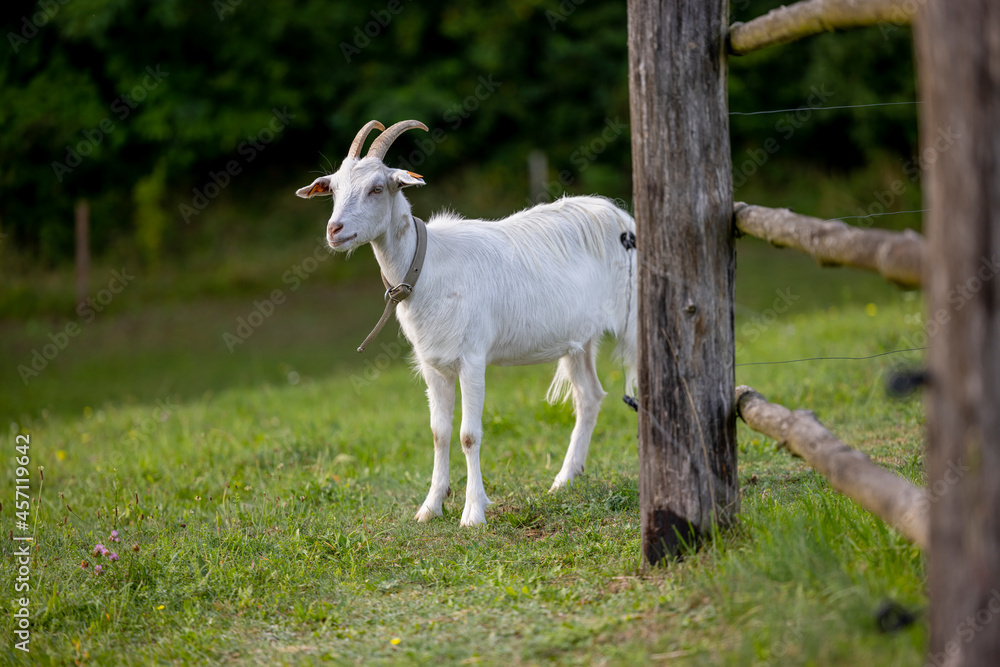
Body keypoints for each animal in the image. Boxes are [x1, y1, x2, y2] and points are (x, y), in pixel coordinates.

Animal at [296, 119, 637, 526]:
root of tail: (620, 216)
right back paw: (564, 480)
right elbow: (439, 433)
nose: (335, 230)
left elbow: (468, 435)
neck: (427, 267)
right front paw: (430, 506)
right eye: (332, 189)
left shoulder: (472, 360)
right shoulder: (433, 364)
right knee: (589, 396)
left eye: (377, 188)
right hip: (577, 341)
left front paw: (473, 512)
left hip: (635, 318)